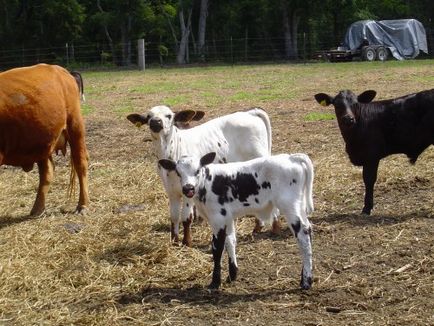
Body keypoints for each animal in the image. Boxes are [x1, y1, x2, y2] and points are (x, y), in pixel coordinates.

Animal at [0, 63, 89, 216]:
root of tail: (63, 72)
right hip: (43, 141)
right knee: (47, 172)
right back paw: (37, 209)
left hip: (75, 127)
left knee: (80, 164)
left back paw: (83, 205)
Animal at [127, 105, 274, 246]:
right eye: (149, 116)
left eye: (168, 115)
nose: (156, 122)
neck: (170, 151)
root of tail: (250, 113)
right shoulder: (171, 191)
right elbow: (174, 217)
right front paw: (174, 241)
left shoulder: (188, 190)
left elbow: (186, 217)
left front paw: (186, 242)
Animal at [158, 152, 314, 290]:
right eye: (178, 172)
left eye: (197, 170)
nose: (188, 188)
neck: (207, 183)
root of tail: (292, 157)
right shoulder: (227, 218)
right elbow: (230, 241)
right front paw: (232, 275)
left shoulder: (218, 219)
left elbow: (217, 248)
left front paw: (215, 282)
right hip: (299, 206)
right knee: (308, 228)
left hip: (289, 206)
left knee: (303, 235)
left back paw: (306, 282)